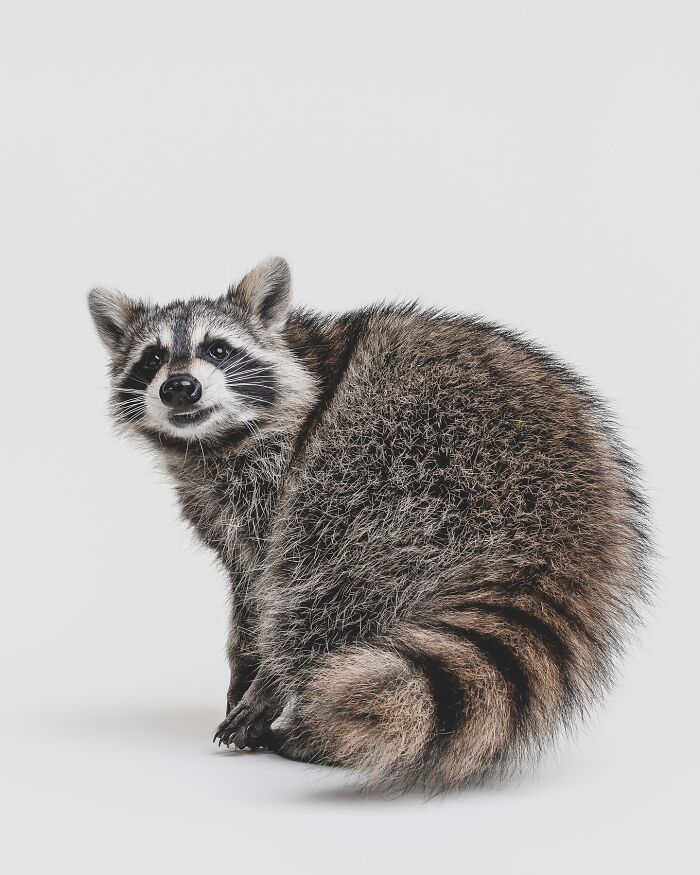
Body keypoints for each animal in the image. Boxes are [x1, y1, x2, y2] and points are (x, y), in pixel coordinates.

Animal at [88, 257, 650, 792]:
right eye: (153, 358)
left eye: (219, 350)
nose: (180, 387)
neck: (214, 443)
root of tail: (564, 523)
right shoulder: (220, 508)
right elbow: (249, 586)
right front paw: (242, 665)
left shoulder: (285, 470)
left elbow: (284, 580)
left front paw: (265, 680)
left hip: (404, 471)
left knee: (327, 575)